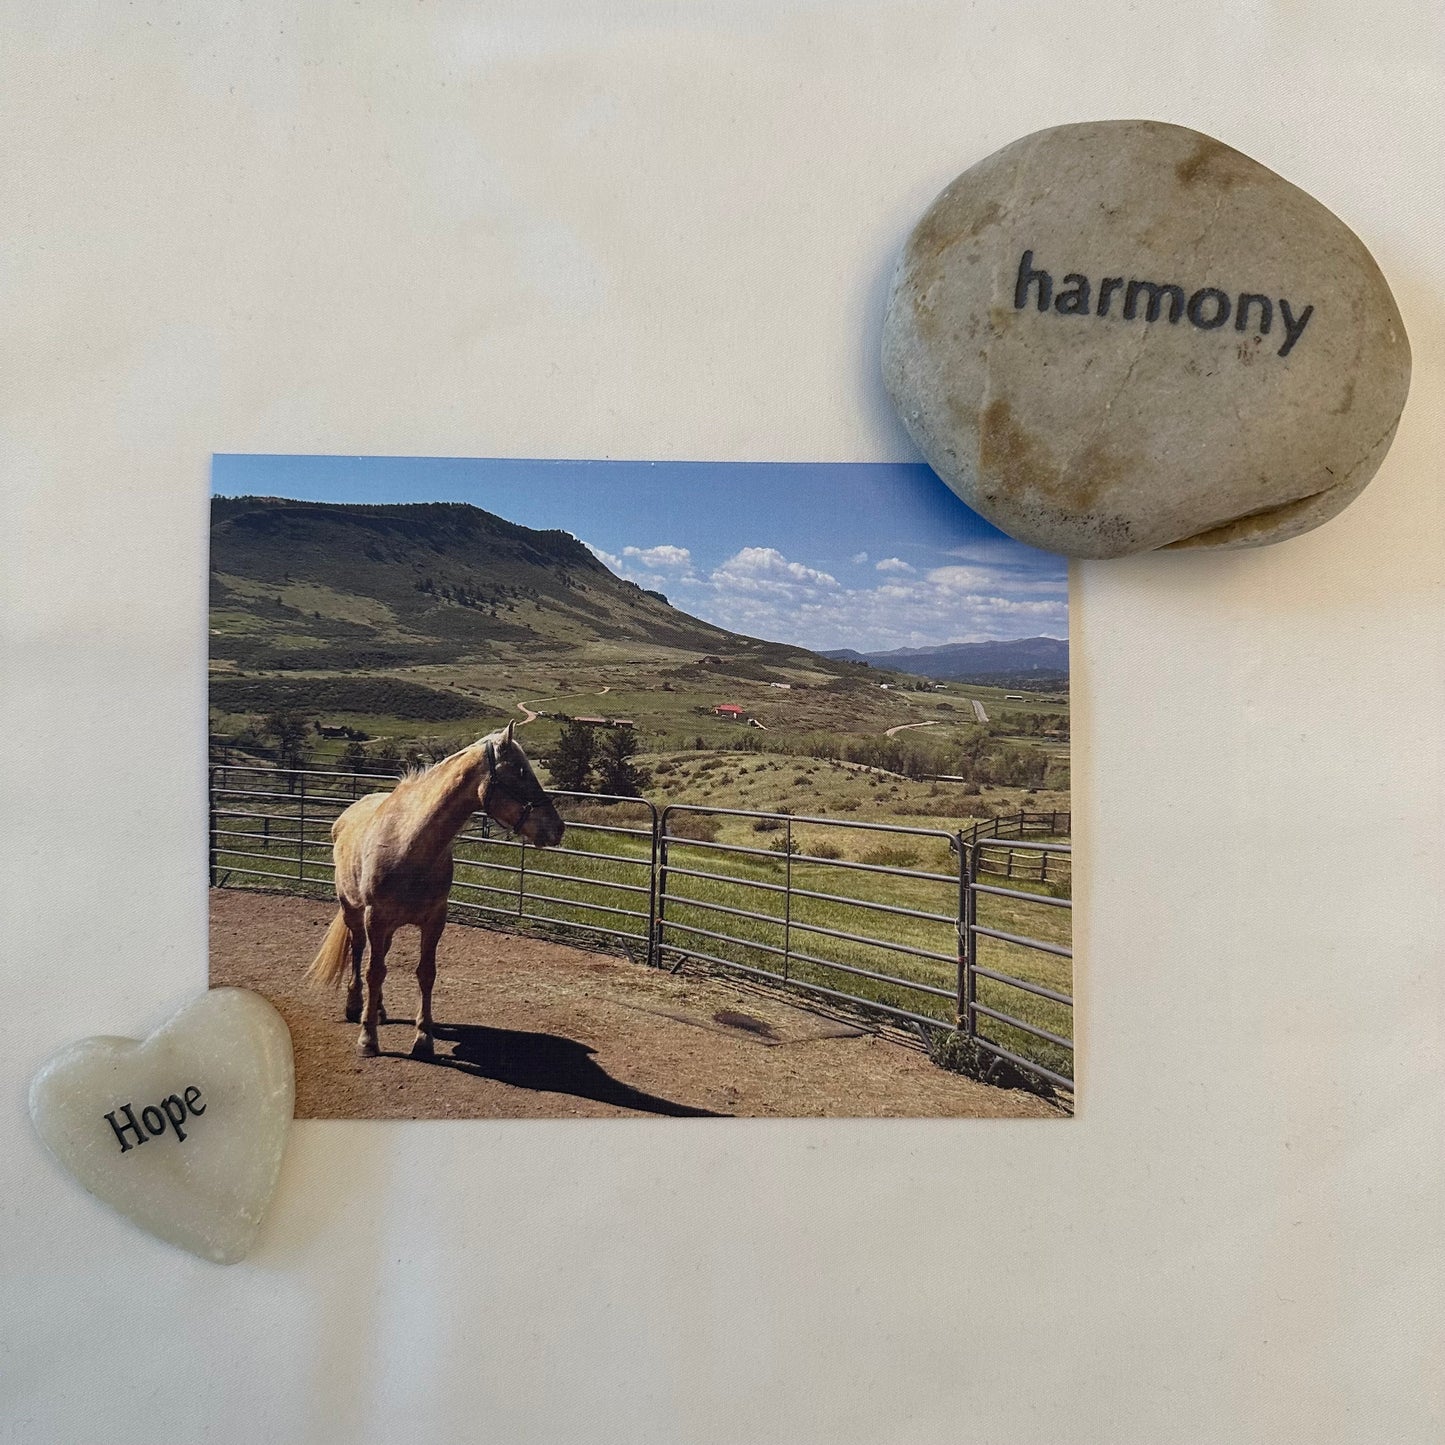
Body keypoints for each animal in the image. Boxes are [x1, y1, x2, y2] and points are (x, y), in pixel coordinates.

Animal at [305, 722, 565, 1058]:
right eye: (520, 772)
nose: (557, 828)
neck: (409, 843)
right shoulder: (375, 917)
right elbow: (374, 971)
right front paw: (368, 1039)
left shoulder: (434, 920)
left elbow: (425, 973)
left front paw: (423, 1038)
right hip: (353, 911)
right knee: (360, 950)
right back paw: (355, 1007)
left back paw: (379, 1011)